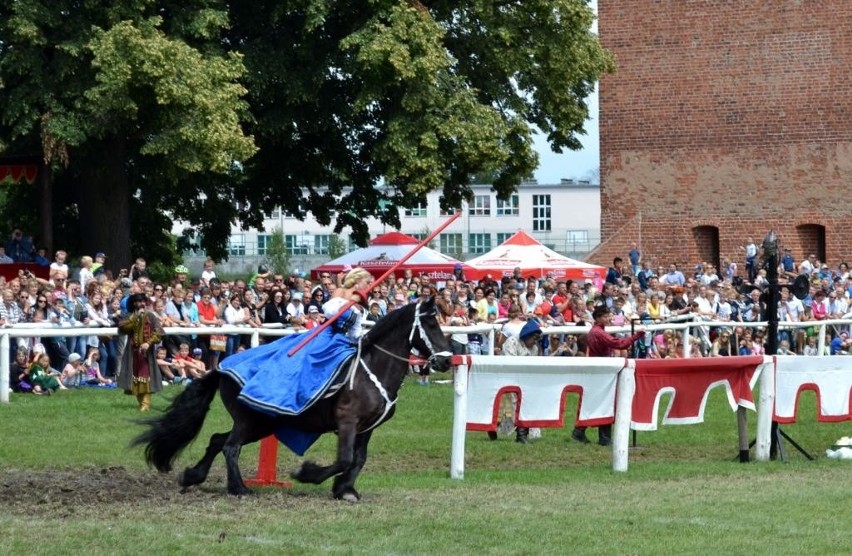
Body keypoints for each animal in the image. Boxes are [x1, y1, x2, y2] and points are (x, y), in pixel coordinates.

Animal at [131, 298, 452, 502]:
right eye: (431, 325)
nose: (447, 361)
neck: (370, 368)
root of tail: (220, 368)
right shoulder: (347, 422)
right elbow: (345, 458)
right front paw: (307, 474)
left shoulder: (367, 428)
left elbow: (358, 460)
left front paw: (345, 489)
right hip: (249, 420)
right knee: (231, 447)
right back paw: (239, 489)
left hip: (261, 425)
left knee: (217, 440)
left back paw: (193, 476)